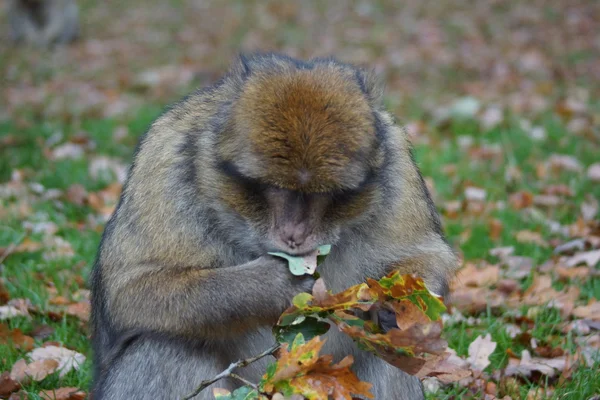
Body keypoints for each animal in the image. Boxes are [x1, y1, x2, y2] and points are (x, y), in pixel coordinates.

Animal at [88, 54, 454, 400]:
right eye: (275, 189)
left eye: (323, 195)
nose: (294, 234)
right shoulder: (166, 161)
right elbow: (131, 290)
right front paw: (274, 285)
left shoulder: (396, 162)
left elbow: (428, 254)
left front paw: (396, 306)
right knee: (167, 345)